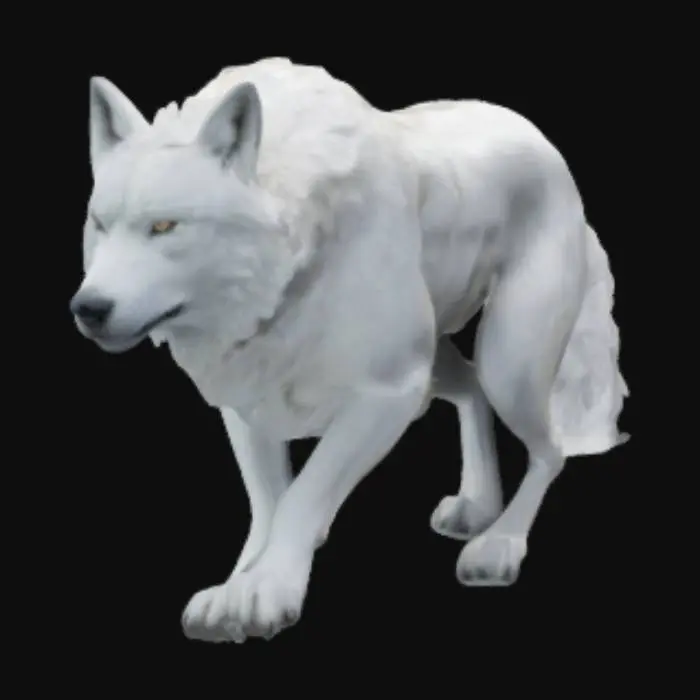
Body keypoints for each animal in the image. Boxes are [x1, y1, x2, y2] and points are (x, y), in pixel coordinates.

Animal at [70, 57, 628, 642]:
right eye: (100, 225)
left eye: (163, 226)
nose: (88, 308)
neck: (292, 261)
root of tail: (546, 146)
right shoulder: (249, 396)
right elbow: (268, 501)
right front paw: (240, 586)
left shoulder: (387, 394)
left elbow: (303, 493)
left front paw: (266, 592)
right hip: (440, 359)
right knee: (473, 389)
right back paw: (477, 504)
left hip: (509, 362)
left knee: (550, 449)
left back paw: (498, 546)